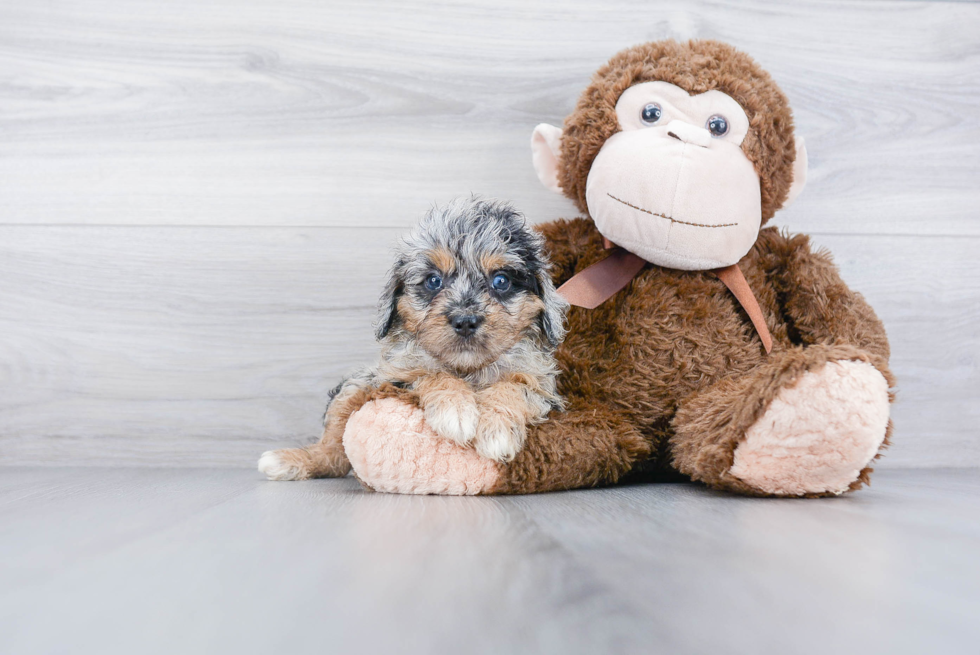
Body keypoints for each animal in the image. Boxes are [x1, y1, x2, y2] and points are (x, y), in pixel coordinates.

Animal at [258, 196, 568, 482]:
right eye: (433, 281)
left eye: (501, 281)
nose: (465, 320)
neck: (467, 370)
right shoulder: (390, 378)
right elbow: (431, 374)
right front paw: (455, 410)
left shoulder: (545, 390)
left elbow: (515, 387)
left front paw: (497, 430)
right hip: (356, 385)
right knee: (333, 450)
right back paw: (291, 460)